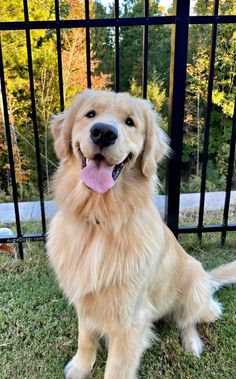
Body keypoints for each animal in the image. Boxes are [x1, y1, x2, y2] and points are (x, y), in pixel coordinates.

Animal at [46, 90, 236, 378]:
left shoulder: (130, 320)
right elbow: (85, 336)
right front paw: (80, 367)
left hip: (194, 286)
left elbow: (116, 369)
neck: (101, 219)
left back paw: (192, 342)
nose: (103, 132)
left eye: (130, 122)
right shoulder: (86, 298)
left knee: (189, 320)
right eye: (90, 114)